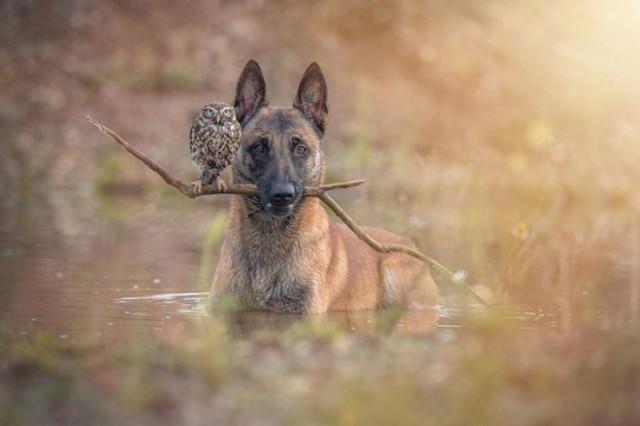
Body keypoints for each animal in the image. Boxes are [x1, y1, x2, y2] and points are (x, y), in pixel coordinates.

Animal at [210, 59, 440, 312]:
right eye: (259, 147)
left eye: (300, 149)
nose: (283, 195)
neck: (269, 239)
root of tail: (409, 244)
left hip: (393, 270)